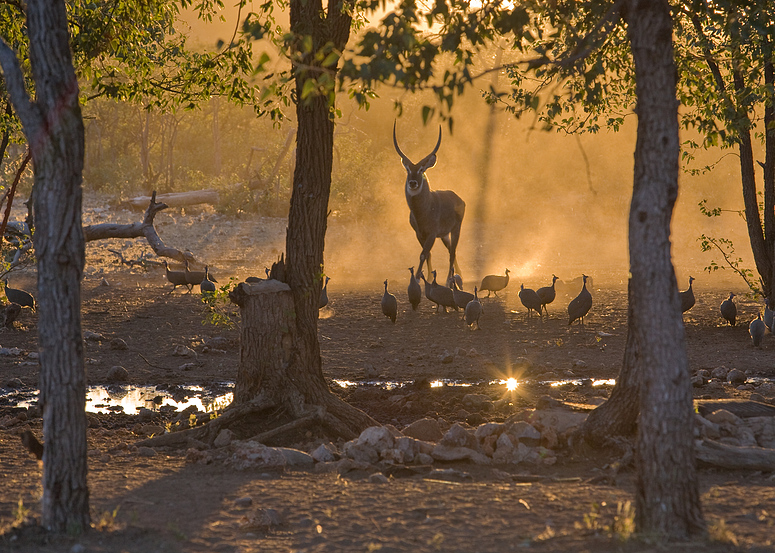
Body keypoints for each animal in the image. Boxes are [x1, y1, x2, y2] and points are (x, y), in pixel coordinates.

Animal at [394, 121, 466, 284]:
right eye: (408, 170)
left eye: (421, 170)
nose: (413, 183)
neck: (423, 211)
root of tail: (459, 198)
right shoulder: (419, 234)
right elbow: (427, 254)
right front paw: (426, 277)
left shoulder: (432, 234)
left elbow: (423, 254)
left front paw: (417, 279)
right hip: (444, 235)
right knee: (451, 250)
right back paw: (458, 274)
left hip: (456, 229)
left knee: (453, 252)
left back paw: (449, 279)